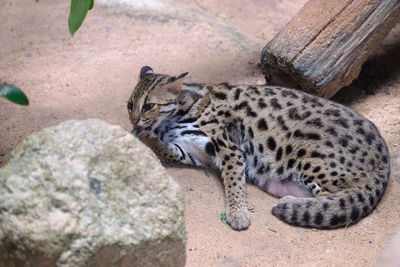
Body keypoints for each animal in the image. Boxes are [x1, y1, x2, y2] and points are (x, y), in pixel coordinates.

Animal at [126, 66, 390, 231]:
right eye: (130, 104)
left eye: (148, 106)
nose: (134, 121)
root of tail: (384, 161)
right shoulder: (191, 151)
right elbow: (165, 149)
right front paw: (144, 139)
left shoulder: (229, 149)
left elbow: (234, 182)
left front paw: (237, 213)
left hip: (312, 159)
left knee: (337, 199)